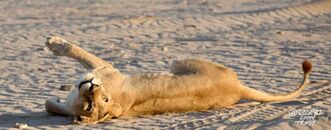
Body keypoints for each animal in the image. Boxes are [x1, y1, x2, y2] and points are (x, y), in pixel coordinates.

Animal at [44, 36, 314, 124]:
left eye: (105, 98)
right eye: (92, 105)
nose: (92, 86)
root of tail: (238, 88)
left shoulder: (104, 67)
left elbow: (76, 50)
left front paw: (53, 42)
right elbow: (51, 106)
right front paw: (54, 100)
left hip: (179, 61)